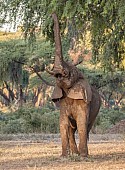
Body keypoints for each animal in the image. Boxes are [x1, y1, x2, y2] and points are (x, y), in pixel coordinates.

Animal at [46, 12, 101, 157]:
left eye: (68, 72)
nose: (53, 13)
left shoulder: (84, 100)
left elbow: (82, 122)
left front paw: (83, 156)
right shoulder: (63, 101)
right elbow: (63, 123)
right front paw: (64, 156)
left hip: (96, 109)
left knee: (87, 127)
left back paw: (82, 153)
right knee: (72, 128)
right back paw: (74, 153)